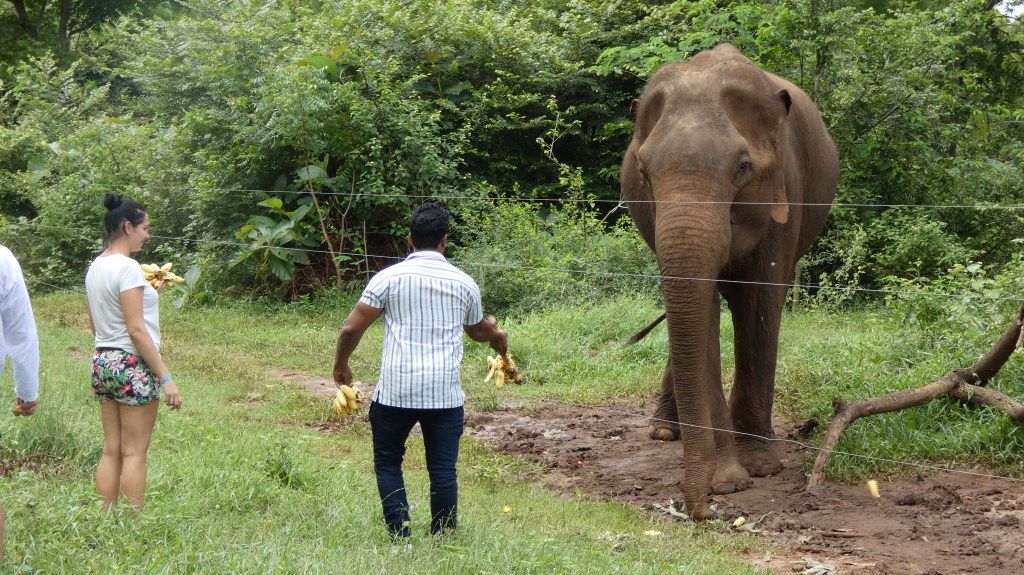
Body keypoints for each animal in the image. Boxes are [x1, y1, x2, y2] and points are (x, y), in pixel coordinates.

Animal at [620, 44, 839, 519]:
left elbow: (759, 304)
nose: (703, 509)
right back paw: (663, 433)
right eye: (643, 172)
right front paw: (730, 480)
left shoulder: (784, 191)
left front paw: (761, 467)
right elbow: (701, 318)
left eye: (742, 168)